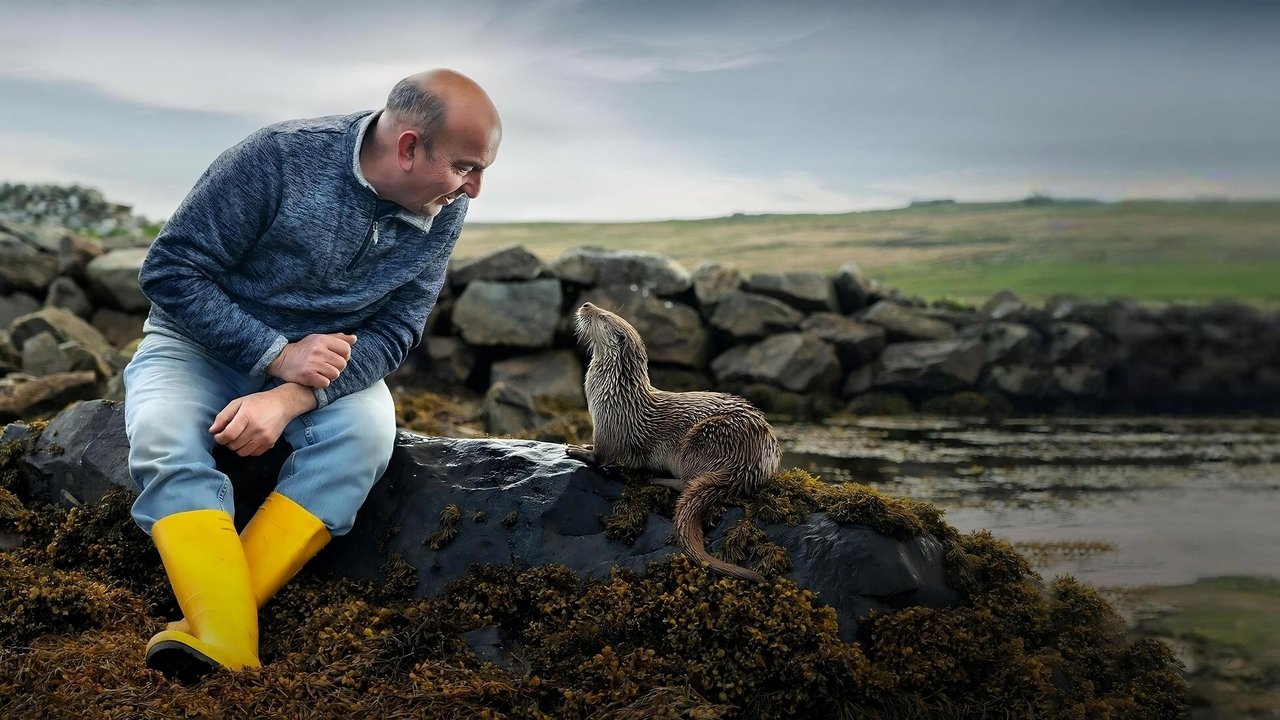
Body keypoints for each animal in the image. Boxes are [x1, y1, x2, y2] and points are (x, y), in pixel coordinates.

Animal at [567, 302, 781, 583]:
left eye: (603, 316)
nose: (586, 305)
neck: (615, 393)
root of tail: (752, 463)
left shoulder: (609, 426)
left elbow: (601, 456)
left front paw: (577, 450)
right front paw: (583, 444)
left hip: (703, 439)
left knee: (687, 481)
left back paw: (658, 479)